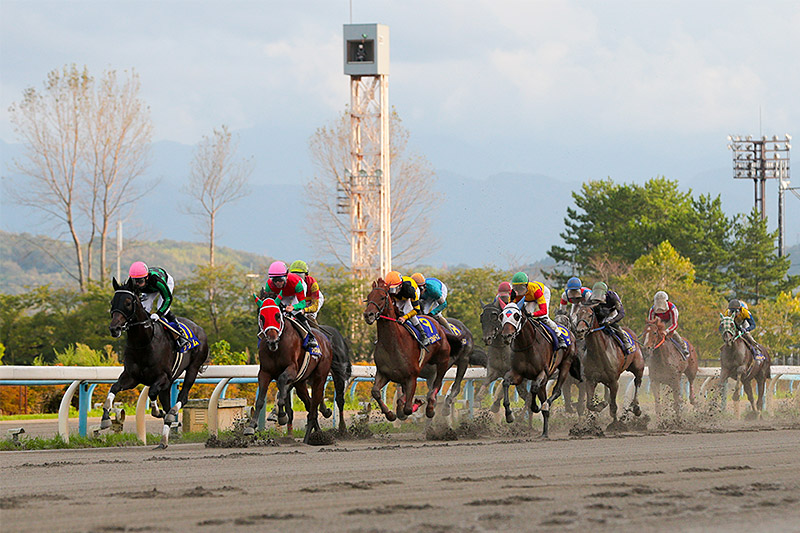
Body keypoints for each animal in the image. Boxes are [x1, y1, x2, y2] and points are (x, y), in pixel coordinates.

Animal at [107, 276, 209, 446]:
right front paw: (105, 416)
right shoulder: (132, 377)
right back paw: (164, 439)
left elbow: (152, 392)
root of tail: (200, 329)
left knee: (182, 397)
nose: (114, 328)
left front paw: (157, 411)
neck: (143, 342)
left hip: (193, 368)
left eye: (128, 302)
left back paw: (172, 415)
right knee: (168, 403)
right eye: (112, 302)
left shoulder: (163, 377)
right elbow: (114, 388)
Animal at [242, 298, 332, 442]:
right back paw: (317, 433)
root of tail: (325, 339)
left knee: (313, 406)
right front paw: (251, 426)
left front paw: (282, 415)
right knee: (309, 404)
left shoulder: (292, 369)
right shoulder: (264, 373)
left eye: (277, 316)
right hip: (301, 383)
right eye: (262, 317)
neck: (277, 348)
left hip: (320, 377)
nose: (272, 341)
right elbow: (261, 399)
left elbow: (282, 387)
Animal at [364, 278, 454, 420]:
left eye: (382, 297)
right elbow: (376, 392)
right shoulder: (384, 373)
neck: (392, 344)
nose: (368, 315)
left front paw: (416, 403)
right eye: (368, 297)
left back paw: (430, 408)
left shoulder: (412, 376)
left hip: (442, 362)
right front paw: (390, 413)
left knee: (437, 384)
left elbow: (407, 409)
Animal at [496, 304, 580, 436]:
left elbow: (534, 388)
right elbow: (506, 382)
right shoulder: (518, 374)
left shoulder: (543, 373)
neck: (527, 345)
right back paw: (544, 431)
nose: (506, 335)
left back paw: (545, 411)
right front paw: (509, 415)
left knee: (556, 391)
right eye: (501, 316)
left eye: (516, 316)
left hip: (566, 364)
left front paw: (535, 407)